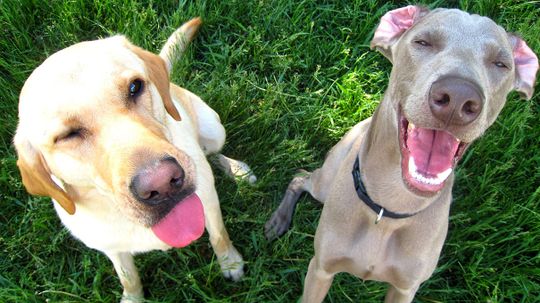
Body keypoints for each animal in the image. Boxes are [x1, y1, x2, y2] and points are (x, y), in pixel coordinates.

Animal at [14, 17, 255, 302]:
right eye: (66, 135)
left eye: (134, 87)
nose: (162, 183)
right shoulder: (112, 249)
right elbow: (128, 277)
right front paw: (133, 297)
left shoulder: (207, 201)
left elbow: (219, 236)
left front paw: (230, 263)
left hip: (214, 129)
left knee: (212, 153)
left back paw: (237, 169)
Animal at [266, 5, 540, 302]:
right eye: (423, 42)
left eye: (501, 64)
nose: (457, 98)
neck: (389, 208)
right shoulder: (320, 269)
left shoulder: (405, 288)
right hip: (325, 184)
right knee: (300, 177)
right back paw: (278, 221)